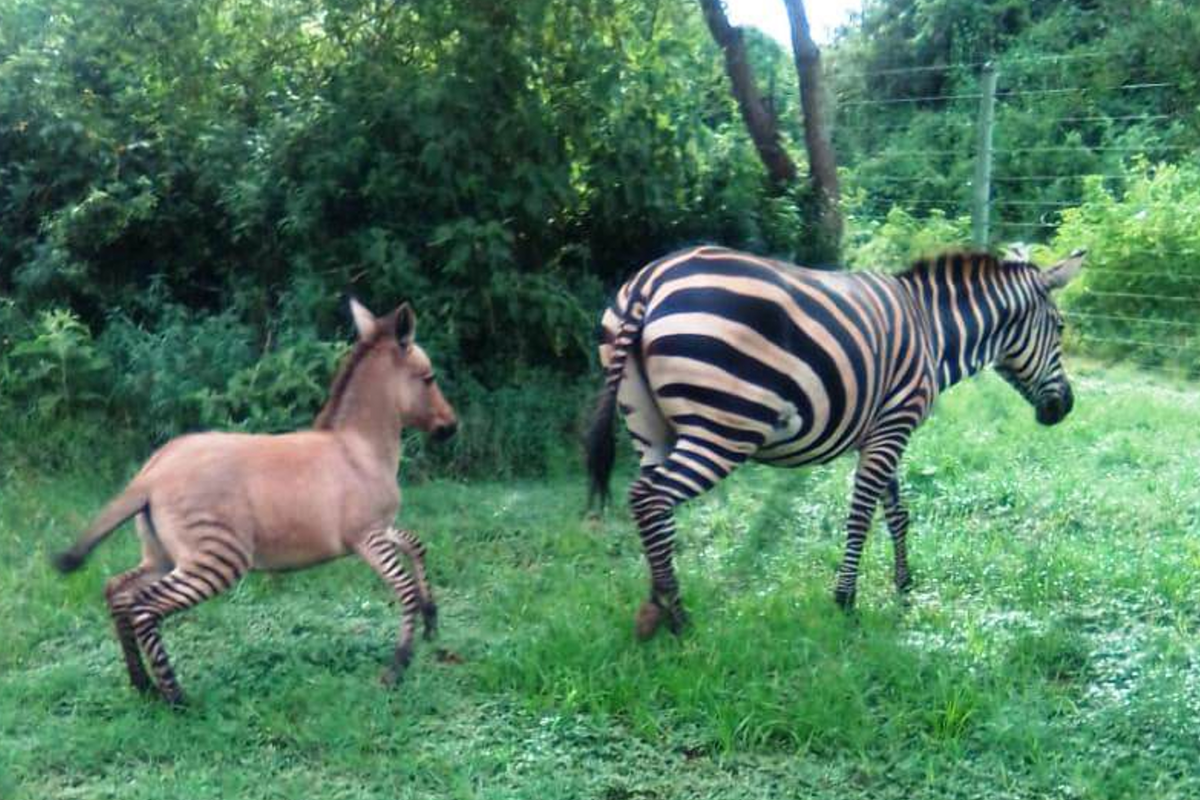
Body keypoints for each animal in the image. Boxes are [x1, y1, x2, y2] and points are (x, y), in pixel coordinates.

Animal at [51, 299, 456, 705]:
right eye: (429, 378)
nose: (452, 428)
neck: (359, 449)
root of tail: (151, 474)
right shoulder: (367, 536)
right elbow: (404, 589)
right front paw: (397, 667)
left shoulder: (381, 529)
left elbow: (416, 545)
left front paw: (431, 619)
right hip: (216, 558)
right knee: (144, 607)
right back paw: (177, 699)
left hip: (163, 556)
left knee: (118, 592)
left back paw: (142, 685)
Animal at [583, 244, 1089, 638]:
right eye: (1061, 328)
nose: (1065, 407)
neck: (933, 331)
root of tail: (650, 280)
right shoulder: (893, 425)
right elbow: (862, 515)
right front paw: (846, 600)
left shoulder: (882, 430)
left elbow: (897, 513)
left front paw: (904, 587)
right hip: (724, 428)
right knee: (650, 498)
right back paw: (677, 617)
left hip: (650, 427)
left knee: (652, 507)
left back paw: (657, 605)